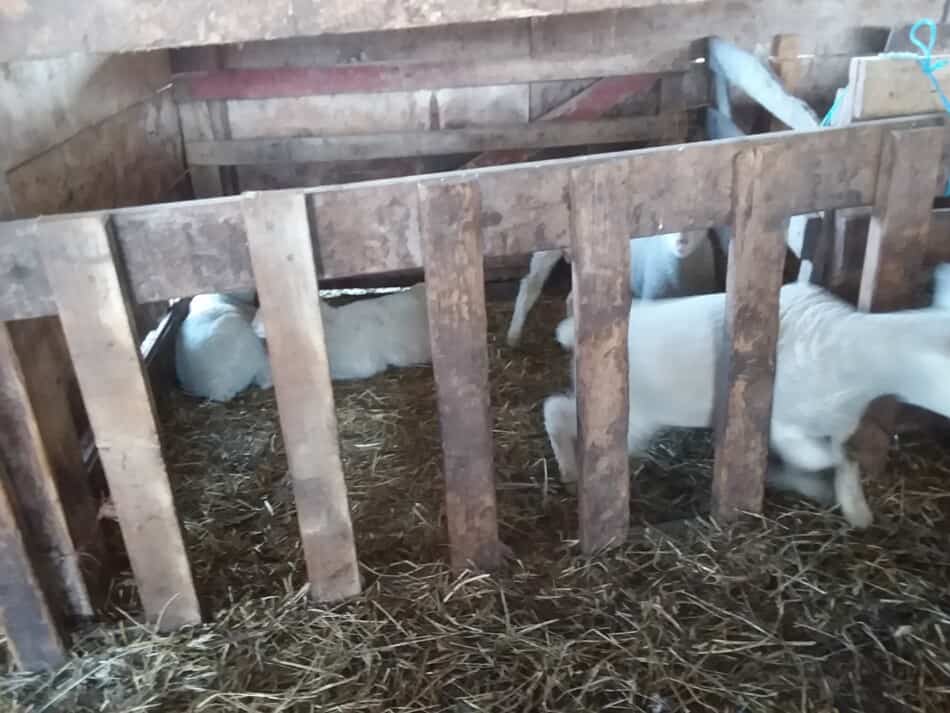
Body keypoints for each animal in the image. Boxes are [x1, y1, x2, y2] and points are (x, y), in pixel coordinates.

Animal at [548, 278, 950, 528]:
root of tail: (575, 333)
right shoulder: (784, 424)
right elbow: (819, 458)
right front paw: (800, 482)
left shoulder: (839, 423)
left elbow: (845, 459)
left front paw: (856, 509)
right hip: (629, 414)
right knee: (557, 414)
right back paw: (570, 471)